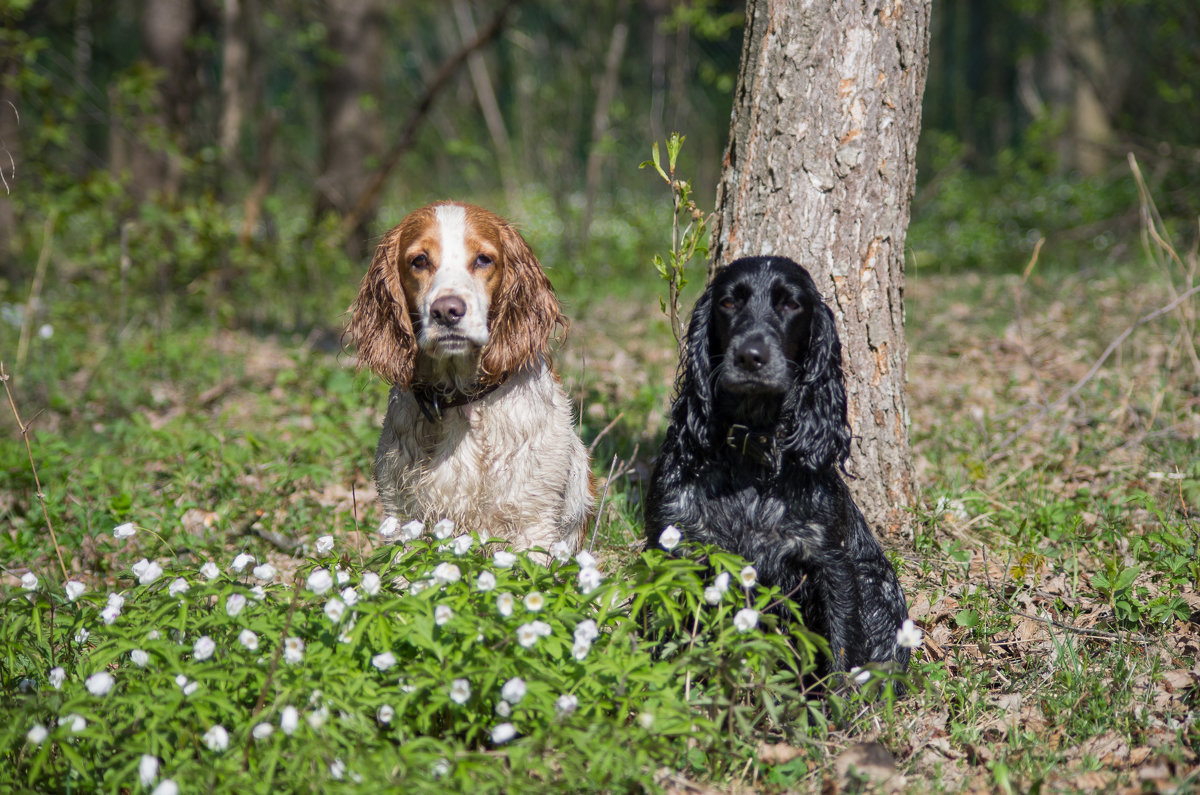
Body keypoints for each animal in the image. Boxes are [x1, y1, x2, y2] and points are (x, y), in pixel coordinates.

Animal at [345, 204, 592, 554]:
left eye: (484, 259)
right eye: (419, 260)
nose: (447, 311)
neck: (461, 402)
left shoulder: (533, 522)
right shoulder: (402, 515)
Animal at [648, 256, 907, 677]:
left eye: (790, 304)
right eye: (728, 303)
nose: (750, 356)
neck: (749, 455)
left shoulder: (833, 566)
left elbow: (842, 658)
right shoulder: (672, 548)